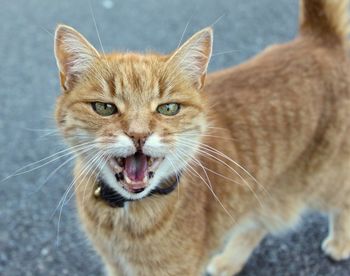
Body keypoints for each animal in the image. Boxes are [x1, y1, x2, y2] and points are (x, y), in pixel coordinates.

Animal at [54, 0, 350, 274]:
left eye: (168, 108)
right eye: (105, 108)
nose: (138, 134)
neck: (123, 215)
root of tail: (318, 38)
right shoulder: (115, 266)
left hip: (322, 180)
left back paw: (339, 243)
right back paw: (229, 261)